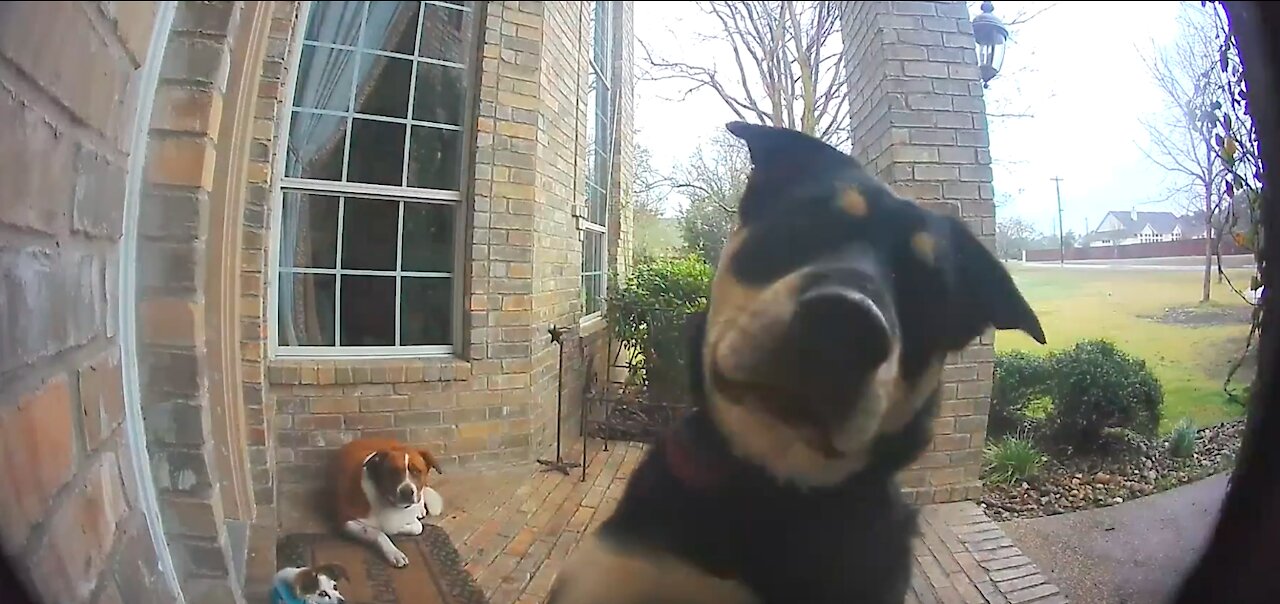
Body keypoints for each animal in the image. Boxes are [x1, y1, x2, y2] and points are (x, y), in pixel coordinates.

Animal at [330, 437, 445, 568]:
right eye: (394, 472)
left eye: (417, 471)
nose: (406, 492)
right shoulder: (346, 522)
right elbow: (378, 533)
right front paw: (394, 552)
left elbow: (418, 527)